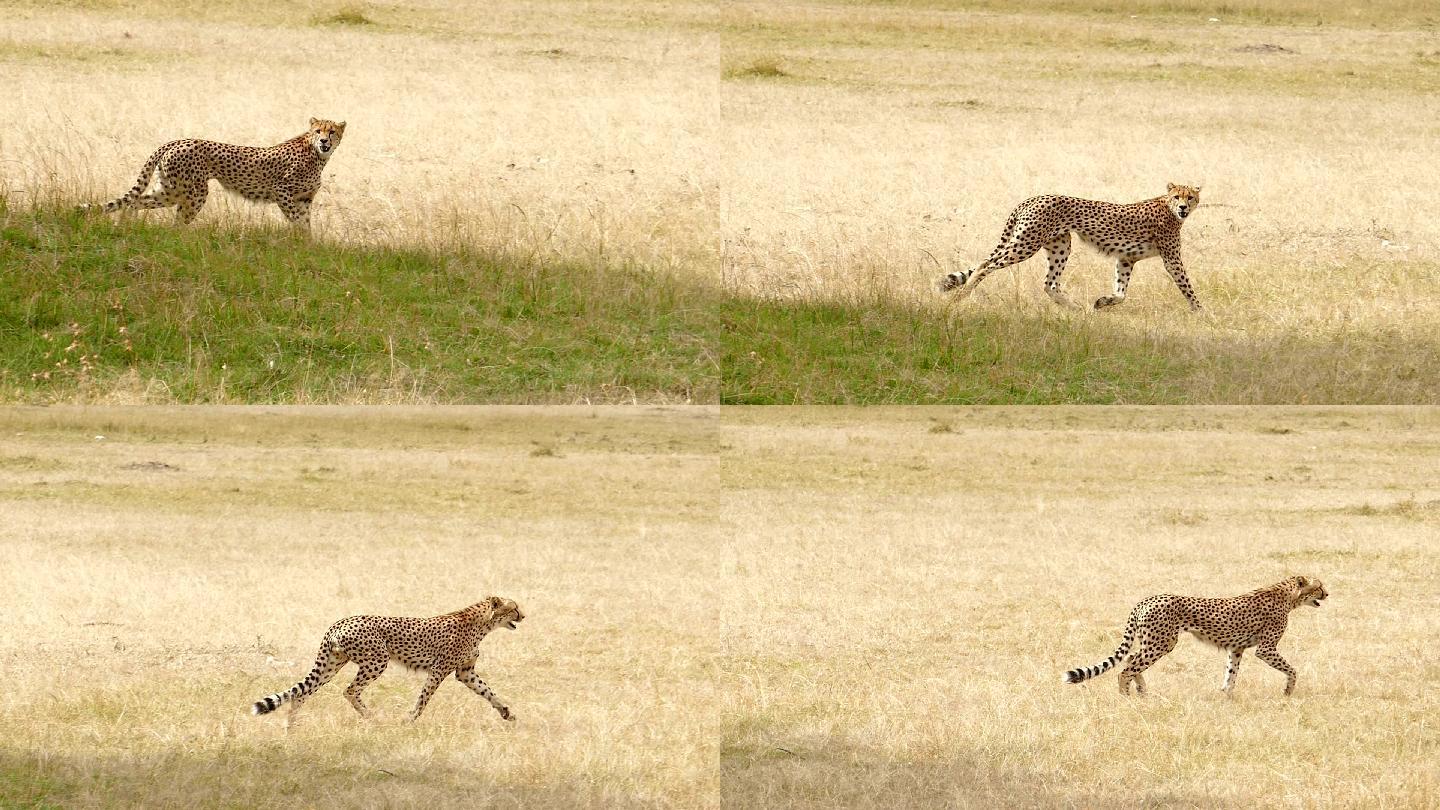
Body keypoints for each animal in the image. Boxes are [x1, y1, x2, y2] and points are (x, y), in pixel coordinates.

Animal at [87, 117, 351, 230]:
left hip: (169, 189)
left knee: (137, 201)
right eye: (318, 131)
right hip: (193, 192)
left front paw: (307, 246)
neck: (317, 155)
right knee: (176, 219)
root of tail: (176, 141)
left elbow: (305, 222)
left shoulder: (305, 199)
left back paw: (125, 224)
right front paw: (299, 240)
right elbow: (297, 220)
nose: (325, 141)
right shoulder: (281, 191)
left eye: (332, 132)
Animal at [252, 593, 524, 717]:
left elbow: (488, 691)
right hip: (377, 660)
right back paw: (370, 716)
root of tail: (340, 622)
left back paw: (291, 729)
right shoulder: (440, 670)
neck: (483, 624)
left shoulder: (465, 672)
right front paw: (410, 720)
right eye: (514, 608)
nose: (523, 616)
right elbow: (424, 698)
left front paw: (506, 712)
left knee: (302, 694)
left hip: (332, 664)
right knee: (349, 690)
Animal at [944, 183, 1203, 308]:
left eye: (1190, 197)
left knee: (1049, 284)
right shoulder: (1171, 259)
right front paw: (1201, 312)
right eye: (1177, 197)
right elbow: (1187, 286)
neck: (1168, 207)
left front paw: (1102, 303)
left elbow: (1121, 292)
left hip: (1060, 245)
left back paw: (1076, 308)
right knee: (985, 265)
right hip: (1026, 244)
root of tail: (1032, 198)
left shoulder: (1125, 258)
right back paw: (961, 296)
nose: (1183, 207)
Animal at [1065, 573, 1319, 694]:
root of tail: (1146, 600)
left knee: (1130, 660)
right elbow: (1292, 669)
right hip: (1162, 643)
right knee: (1126, 668)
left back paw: (1142, 691)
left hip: (1153, 643)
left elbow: (1231, 673)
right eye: (1319, 586)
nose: (1325, 594)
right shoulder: (1265, 649)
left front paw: (1226, 696)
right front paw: (1288, 691)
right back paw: (1125, 697)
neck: (1288, 595)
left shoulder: (1236, 648)